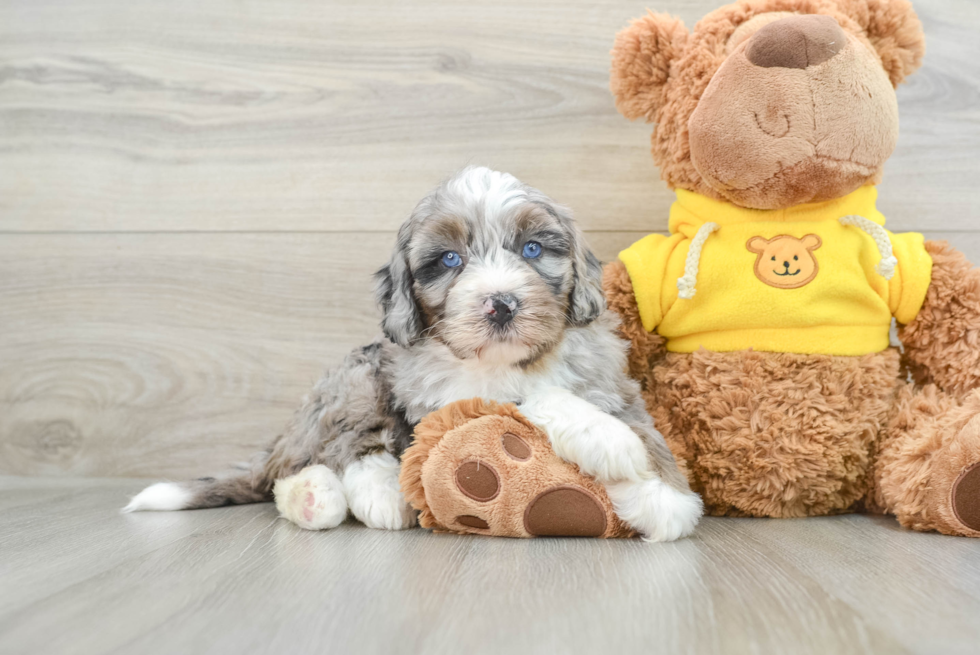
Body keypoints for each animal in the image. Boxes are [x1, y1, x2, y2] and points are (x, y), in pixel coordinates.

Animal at [126, 167, 700, 540]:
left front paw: (659, 492)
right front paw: (614, 447)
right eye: (449, 260)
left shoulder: (610, 380)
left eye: (532, 249)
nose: (501, 304)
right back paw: (343, 495)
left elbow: (640, 428)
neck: (505, 362)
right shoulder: (446, 402)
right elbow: (530, 400)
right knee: (326, 454)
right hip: (357, 376)